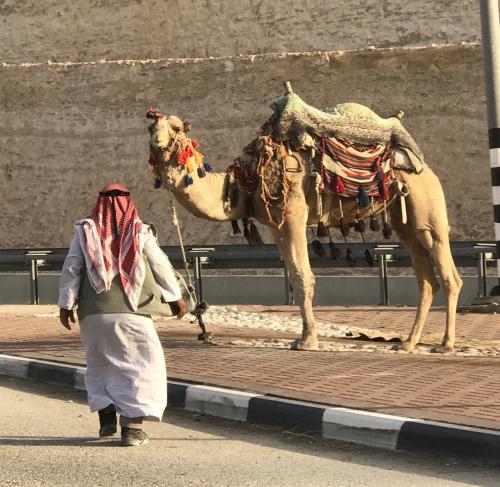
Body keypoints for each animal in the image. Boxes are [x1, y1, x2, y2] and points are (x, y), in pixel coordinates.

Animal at [146, 85, 462, 354]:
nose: (157, 140)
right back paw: (408, 343)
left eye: (175, 127)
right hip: (403, 218)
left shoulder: (293, 216)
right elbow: (295, 274)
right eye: (151, 126)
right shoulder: (277, 225)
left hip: (427, 204)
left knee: (447, 272)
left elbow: (302, 277)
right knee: (425, 278)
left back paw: (445, 344)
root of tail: (423, 165)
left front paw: (307, 341)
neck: (244, 181)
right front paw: (305, 337)